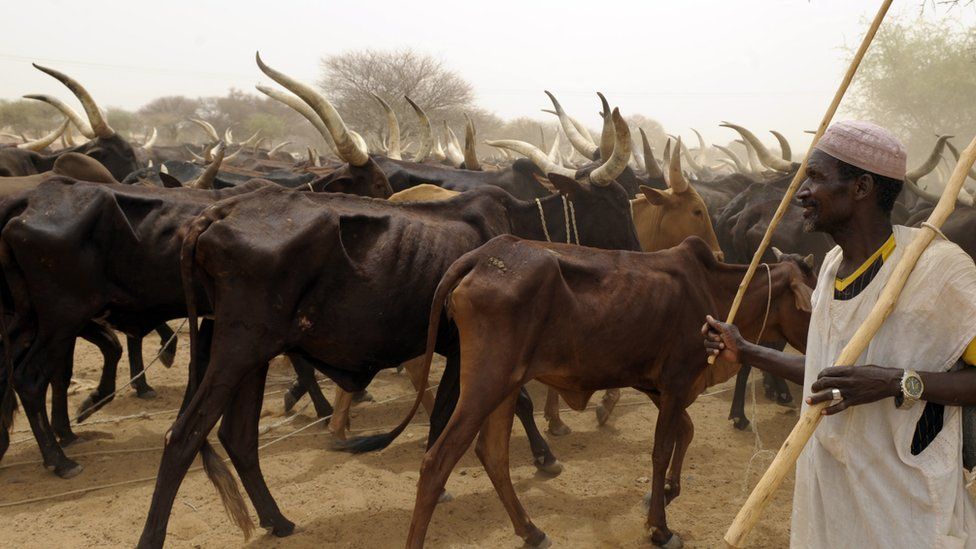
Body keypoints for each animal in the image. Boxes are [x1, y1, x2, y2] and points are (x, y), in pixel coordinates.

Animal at [392, 235, 812, 548]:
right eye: (809, 306)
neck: (715, 289)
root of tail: (481, 256)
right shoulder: (676, 383)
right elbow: (661, 451)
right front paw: (660, 527)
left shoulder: (657, 386)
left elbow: (686, 432)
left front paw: (666, 492)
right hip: (486, 383)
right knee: (436, 463)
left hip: (505, 386)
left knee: (493, 454)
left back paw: (532, 531)